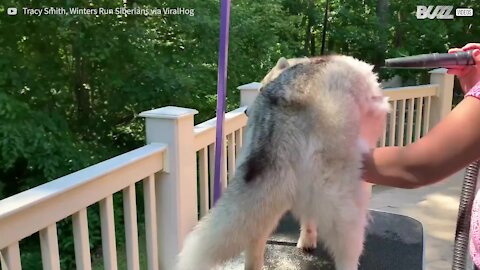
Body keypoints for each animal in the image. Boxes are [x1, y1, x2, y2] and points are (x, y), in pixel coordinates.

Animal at [176, 55, 390, 270]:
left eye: (261, 88)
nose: (246, 112)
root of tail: (282, 105)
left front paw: (307, 241)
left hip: (265, 193)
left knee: (254, 242)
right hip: (343, 206)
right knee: (347, 252)